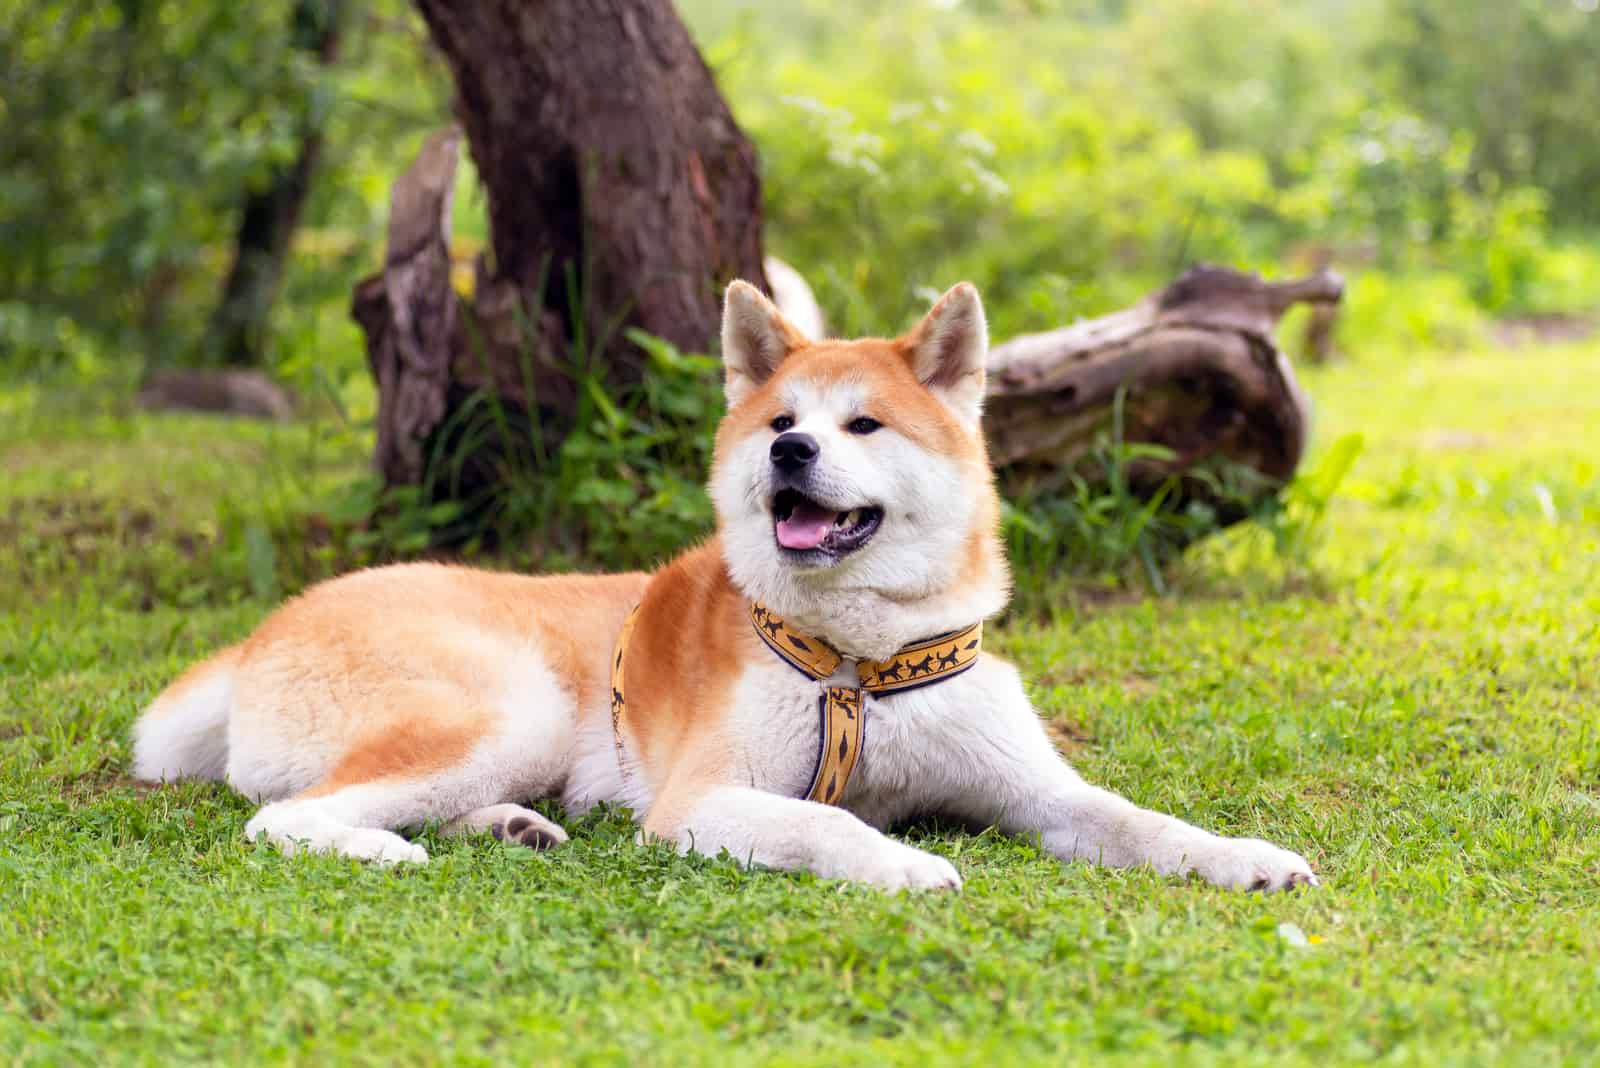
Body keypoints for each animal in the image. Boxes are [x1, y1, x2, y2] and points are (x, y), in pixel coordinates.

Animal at [131, 279, 1318, 888]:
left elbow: (1140, 821)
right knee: (285, 820)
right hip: (509, 709)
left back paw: (509, 828)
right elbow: (833, 828)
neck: (858, 666)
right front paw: (899, 863)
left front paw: (1243, 858)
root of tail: (264, 632)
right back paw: (387, 847)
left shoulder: (1037, 792)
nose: (789, 452)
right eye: (782, 419)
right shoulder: (703, 799)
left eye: (863, 425)